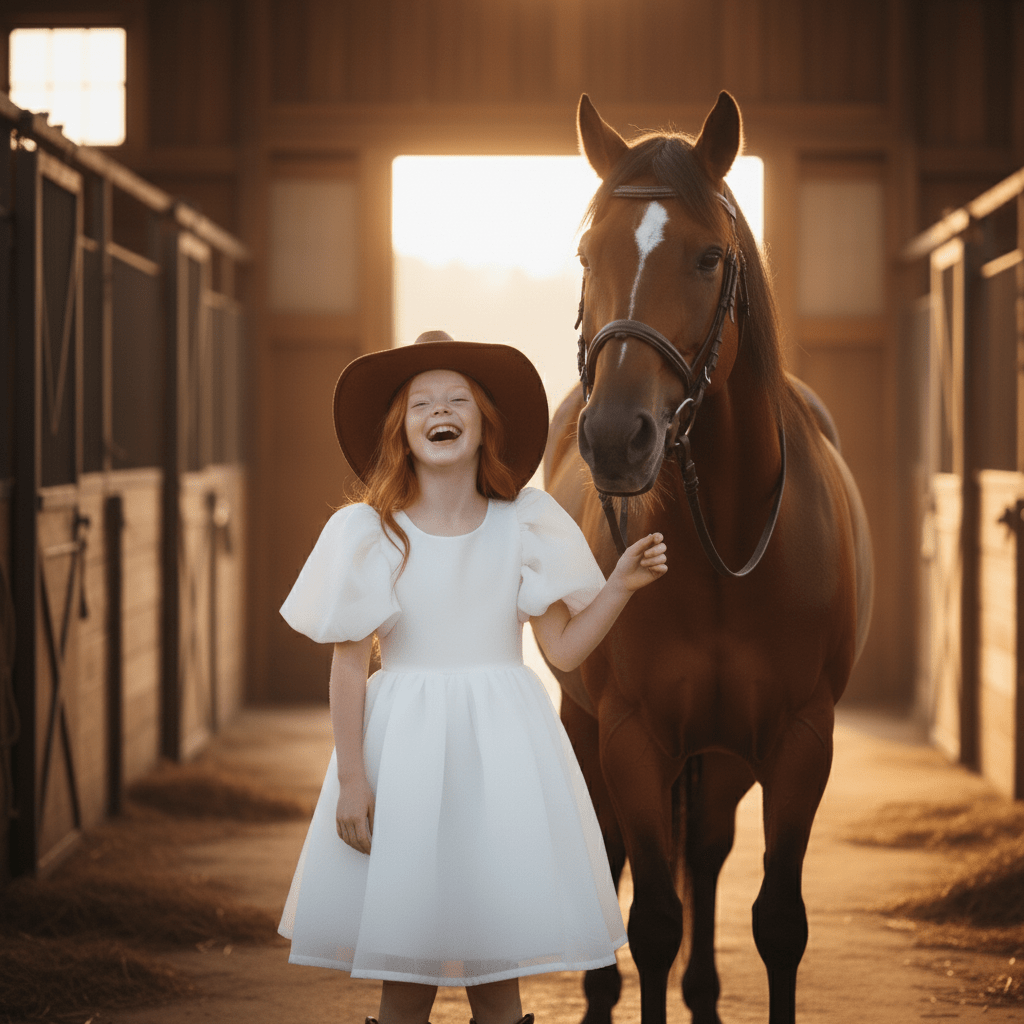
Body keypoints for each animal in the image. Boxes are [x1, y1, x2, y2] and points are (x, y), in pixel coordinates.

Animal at [543, 92, 873, 1024]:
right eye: (587, 253)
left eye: (708, 256)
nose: (617, 438)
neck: (725, 542)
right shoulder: (632, 737)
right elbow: (652, 919)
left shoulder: (800, 740)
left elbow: (778, 921)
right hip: (586, 725)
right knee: (613, 854)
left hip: (722, 757)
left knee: (709, 850)